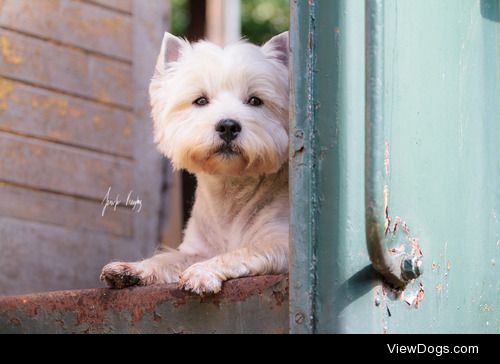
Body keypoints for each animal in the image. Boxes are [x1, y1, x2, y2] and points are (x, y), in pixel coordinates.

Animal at [101, 30, 290, 292]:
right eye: (200, 100)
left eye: (255, 101)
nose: (228, 126)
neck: (229, 193)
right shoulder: (197, 249)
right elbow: (167, 258)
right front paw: (130, 269)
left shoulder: (282, 244)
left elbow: (239, 252)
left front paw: (201, 273)